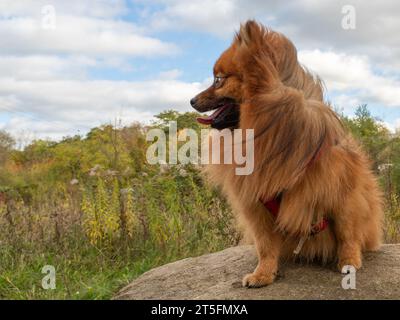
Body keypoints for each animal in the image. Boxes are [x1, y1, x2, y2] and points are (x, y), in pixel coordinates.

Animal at [191, 21, 384, 288]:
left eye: (218, 80)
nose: (191, 100)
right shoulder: (257, 204)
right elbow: (265, 245)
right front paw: (263, 273)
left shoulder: (342, 195)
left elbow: (347, 233)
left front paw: (349, 262)